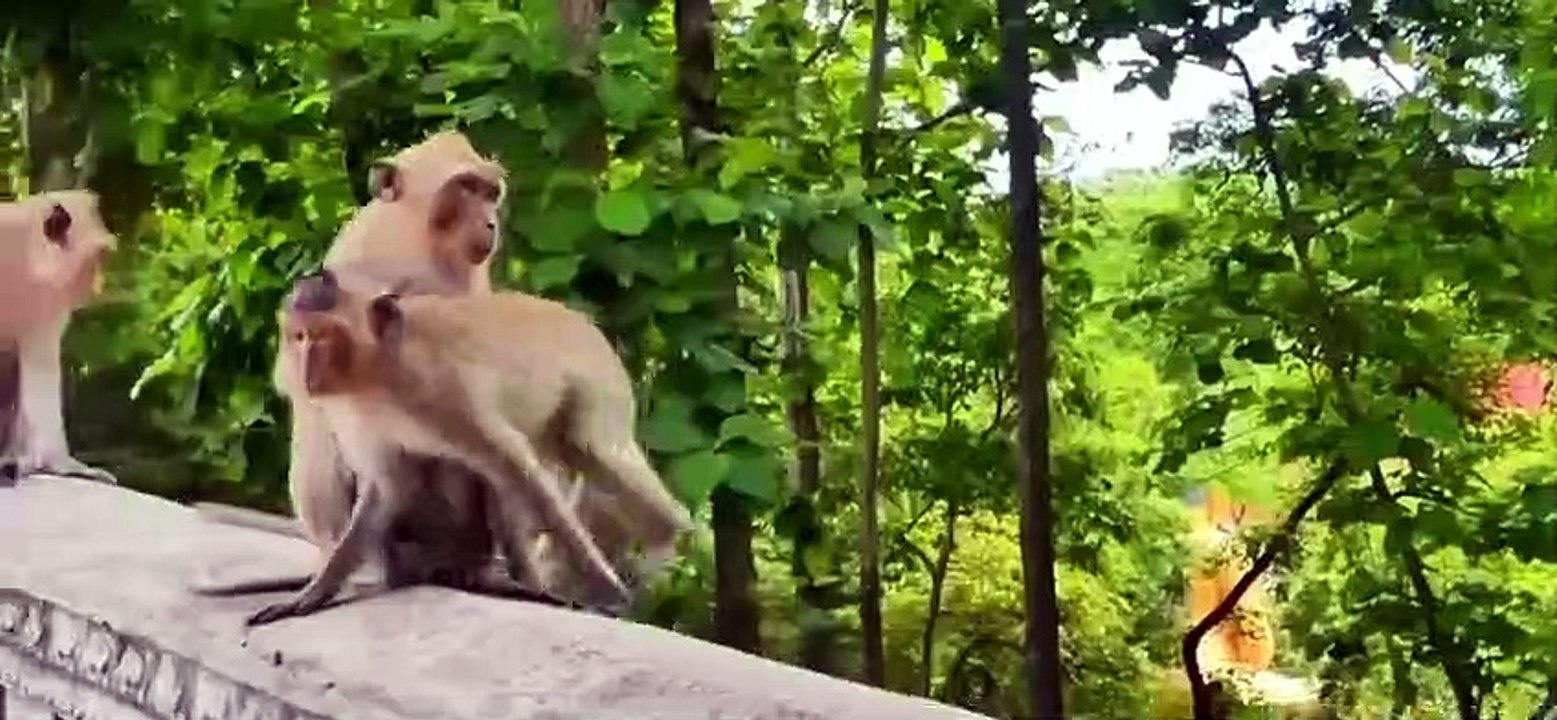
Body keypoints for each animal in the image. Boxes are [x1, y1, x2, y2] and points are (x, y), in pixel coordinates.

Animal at [243, 270, 692, 626]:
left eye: (323, 337)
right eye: (299, 336)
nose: (305, 367)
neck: (377, 371)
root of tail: (586, 324)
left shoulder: (442, 390)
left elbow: (512, 465)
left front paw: (608, 590)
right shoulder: (359, 417)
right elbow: (388, 488)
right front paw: (313, 595)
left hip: (601, 383)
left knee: (588, 449)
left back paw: (665, 532)